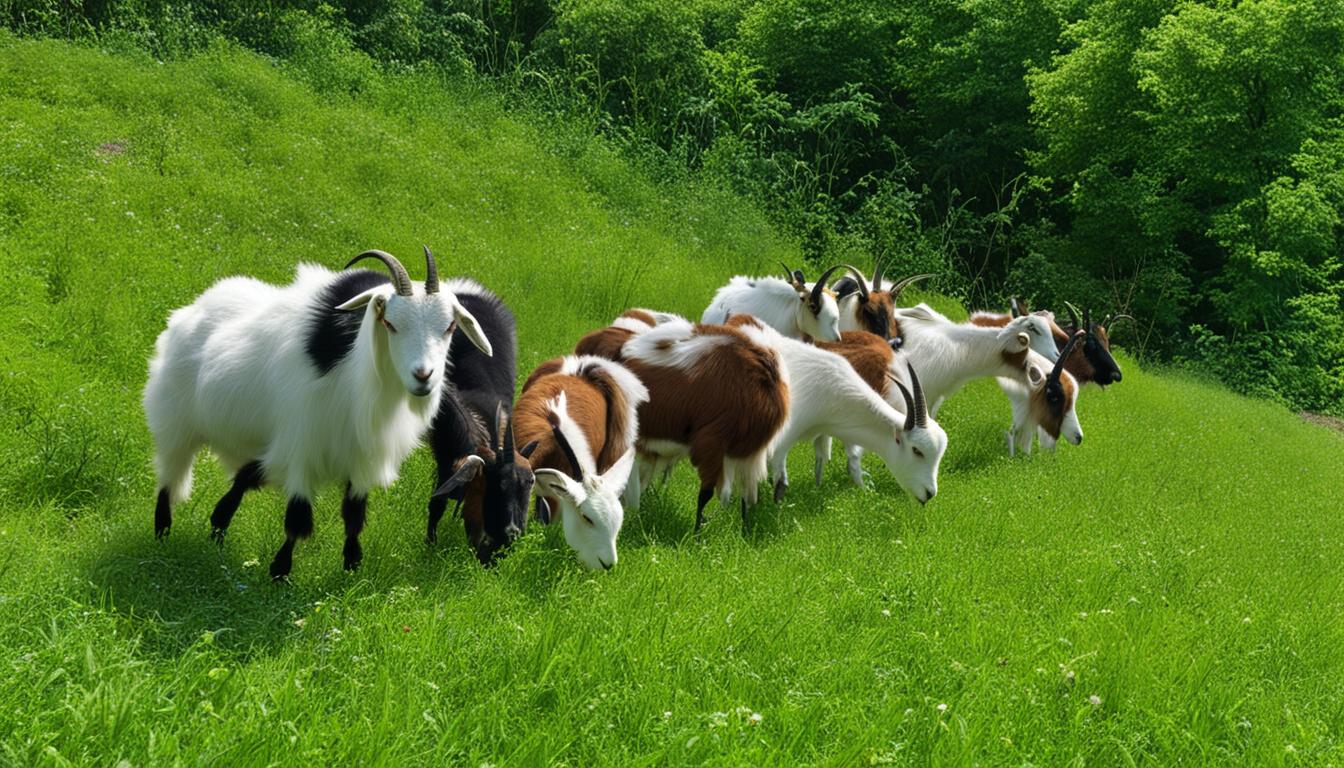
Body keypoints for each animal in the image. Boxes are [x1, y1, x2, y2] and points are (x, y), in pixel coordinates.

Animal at [143, 248, 492, 579]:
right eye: (390, 323)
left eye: (449, 327)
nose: (424, 376)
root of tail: (194, 307)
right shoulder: (302, 449)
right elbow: (298, 518)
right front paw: (279, 573)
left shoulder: (359, 459)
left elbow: (353, 517)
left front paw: (351, 568)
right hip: (176, 422)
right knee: (169, 478)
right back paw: (162, 532)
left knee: (242, 476)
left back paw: (216, 528)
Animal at [581, 316, 791, 532]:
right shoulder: (713, 443)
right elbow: (706, 493)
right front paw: (696, 533)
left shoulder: (747, 456)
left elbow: (746, 499)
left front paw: (745, 533)